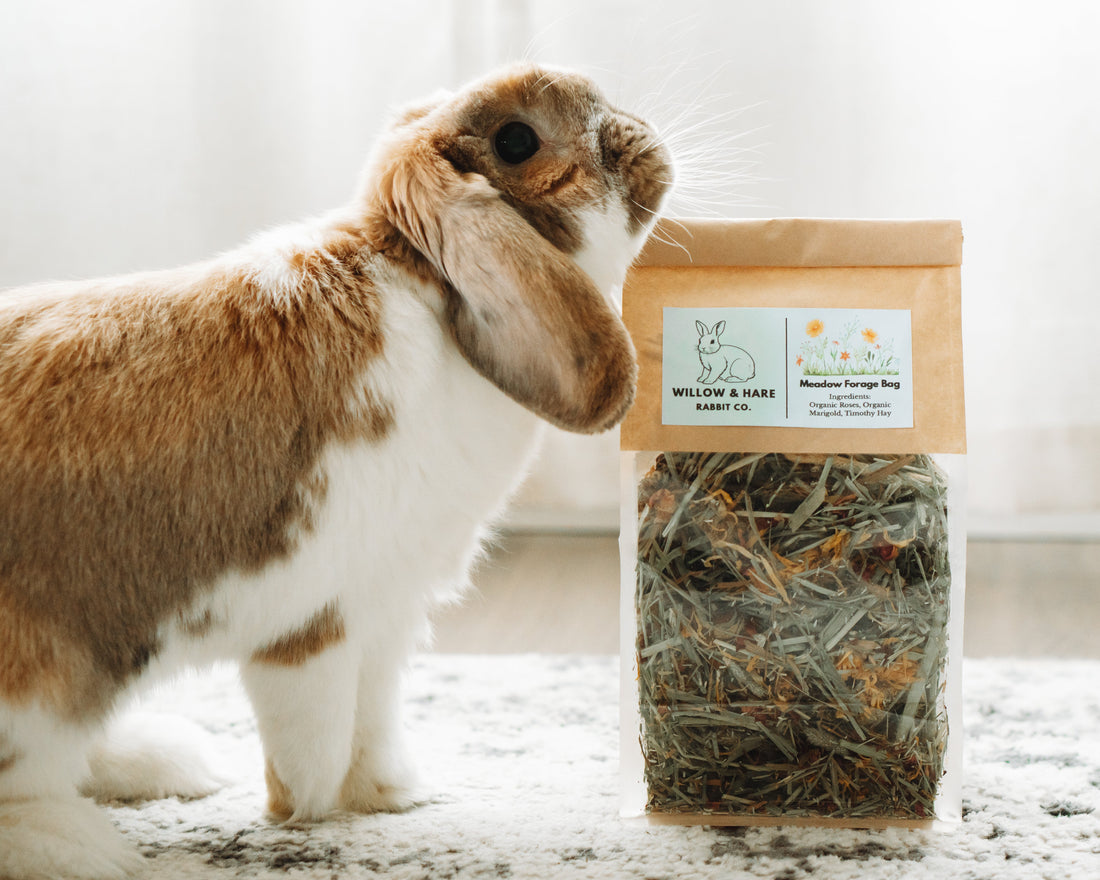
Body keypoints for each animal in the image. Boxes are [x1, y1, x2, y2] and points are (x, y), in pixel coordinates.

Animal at [0, 62, 672, 880]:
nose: (647, 139)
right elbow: (316, 734)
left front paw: (390, 796)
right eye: (518, 141)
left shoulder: (386, 609)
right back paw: (95, 849)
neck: (422, 288)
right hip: (40, 674)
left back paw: (168, 765)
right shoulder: (309, 619)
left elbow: (372, 715)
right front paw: (304, 814)